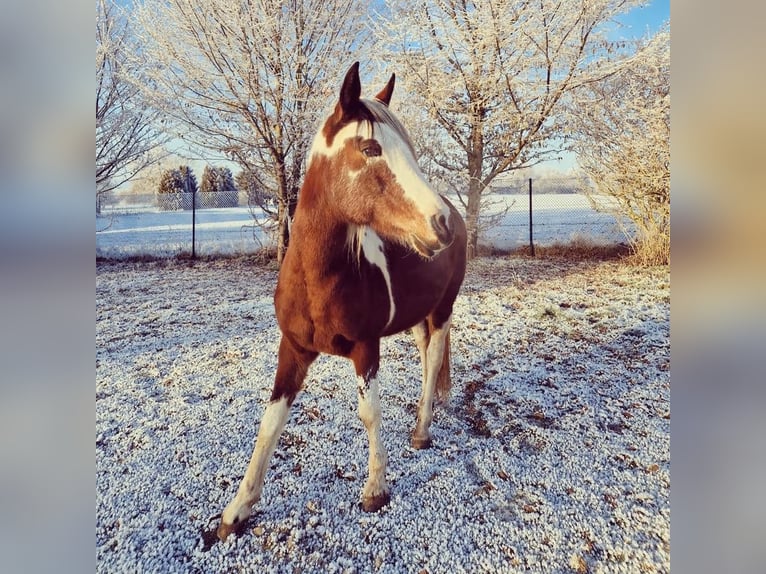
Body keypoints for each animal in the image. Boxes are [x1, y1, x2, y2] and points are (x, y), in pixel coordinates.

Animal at [216, 63, 468, 544]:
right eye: (370, 149)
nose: (441, 224)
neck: (319, 279)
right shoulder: (293, 348)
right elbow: (270, 422)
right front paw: (237, 510)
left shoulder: (366, 348)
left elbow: (369, 413)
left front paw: (375, 490)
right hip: (416, 317)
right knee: (427, 352)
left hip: (443, 309)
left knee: (434, 358)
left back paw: (422, 430)